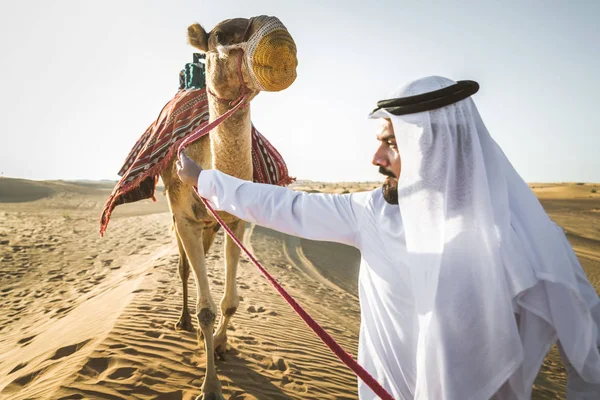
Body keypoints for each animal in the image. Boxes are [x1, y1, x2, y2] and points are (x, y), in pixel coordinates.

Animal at [159, 16, 298, 400]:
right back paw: (182, 321)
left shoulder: (236, 223)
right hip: (178, 217)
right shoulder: (186, 218)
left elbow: (230, 302)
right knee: (183, 268)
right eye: (220, 36)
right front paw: (210, 387)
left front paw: (221, 346)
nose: (277, 36)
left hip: (211, 226)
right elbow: (205, 308)